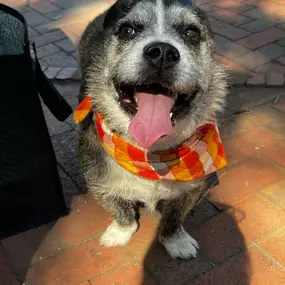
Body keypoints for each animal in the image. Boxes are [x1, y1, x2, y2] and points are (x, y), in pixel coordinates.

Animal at [77, 0, 226, 258]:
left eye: (191, 33)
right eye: (127, 30)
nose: (163, 53)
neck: (151, 154)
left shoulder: (194, 188)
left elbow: (174, 216)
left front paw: (176, 241)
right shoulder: (97, 181)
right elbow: (118, 208)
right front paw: (120, 232)